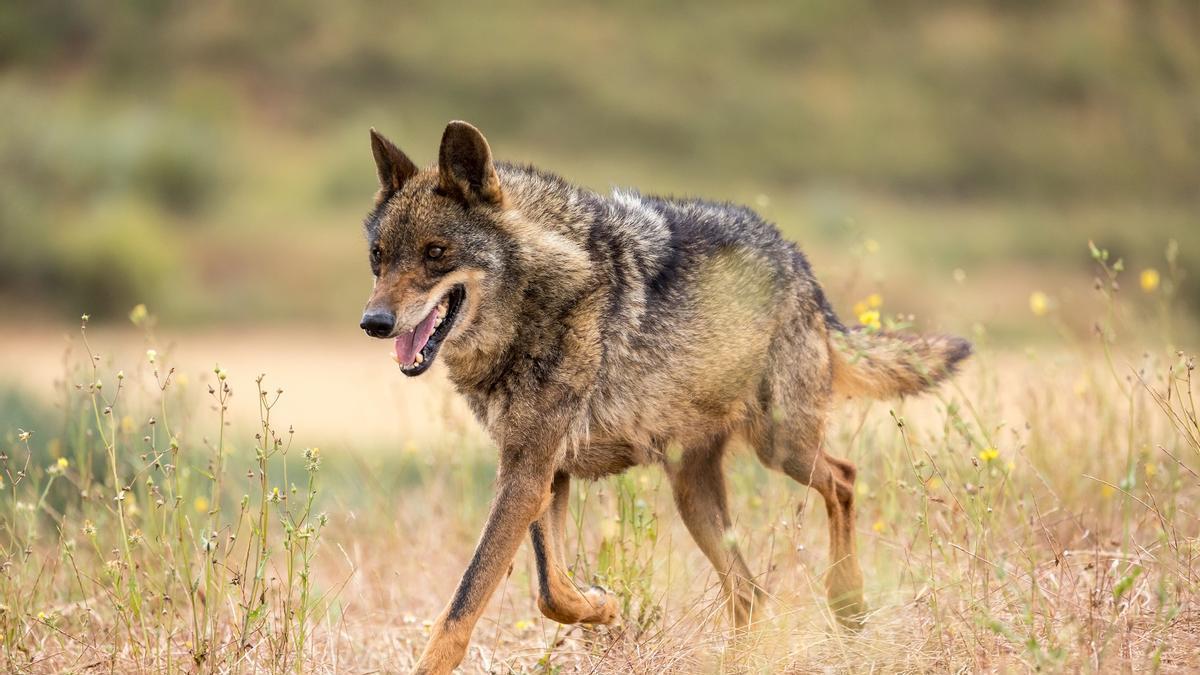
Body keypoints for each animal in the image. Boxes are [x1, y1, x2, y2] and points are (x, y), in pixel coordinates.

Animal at [359, 121, 970, 674]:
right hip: (695, 494)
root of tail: (800, 262)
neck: (541, 300)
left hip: (781, 449)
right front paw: (602, 608)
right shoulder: (537, 470)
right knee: (750, 591)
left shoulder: (531, 472)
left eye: (436, 253)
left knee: (843, 480)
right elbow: (551, 590)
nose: (374, 323)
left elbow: (464, 606)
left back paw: (847, 600)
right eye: (379, 257)